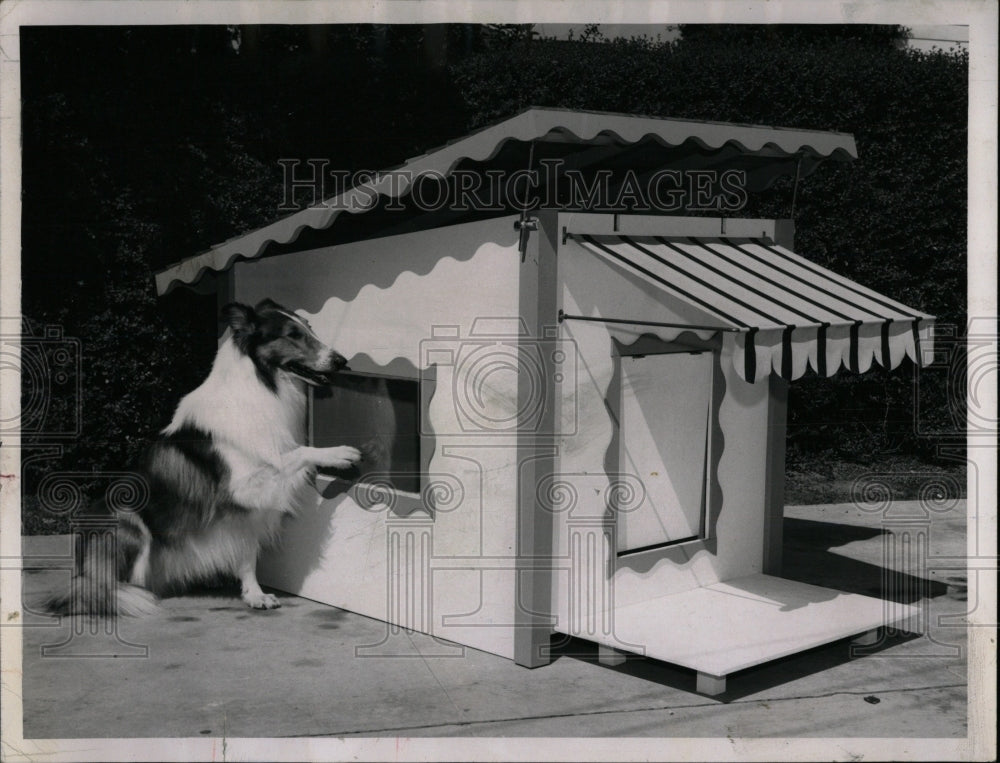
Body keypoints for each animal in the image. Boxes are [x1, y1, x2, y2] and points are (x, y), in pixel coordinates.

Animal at [45, 298, 364, 616]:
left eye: (309, 327)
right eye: (292, 334)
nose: (342, 361)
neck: (260, 383)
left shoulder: (245, 514)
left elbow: (247, 556)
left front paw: (254, 595)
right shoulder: (239, 488)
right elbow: (294, 454)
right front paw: (339, 454)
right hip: (126, 518)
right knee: (107, 588)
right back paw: (133, 595)